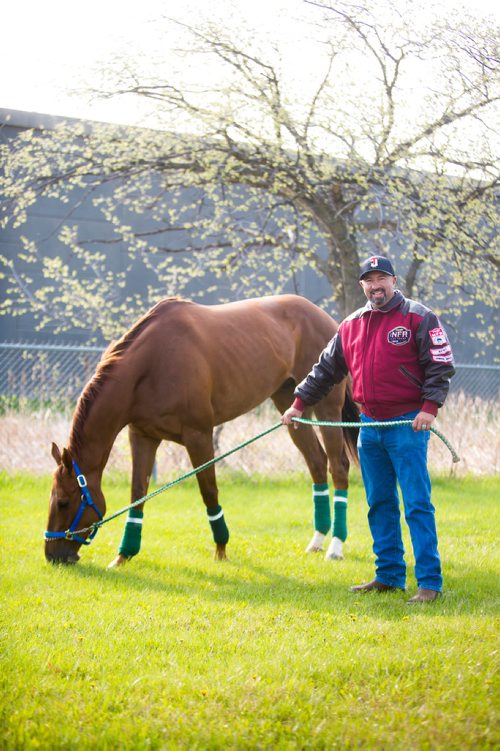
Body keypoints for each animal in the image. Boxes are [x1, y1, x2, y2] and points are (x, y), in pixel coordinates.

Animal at [45, 296, 358, 568]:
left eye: (63, 502)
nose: (52, 555)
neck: (152, 364)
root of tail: (329, 320)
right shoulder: (143, 436)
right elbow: (138, 493)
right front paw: (123, 555)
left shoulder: (199, 436)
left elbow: (209, 492)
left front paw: (221, 550)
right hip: (291, 407)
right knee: (316, 463)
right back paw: (316, 541)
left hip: (327, 409)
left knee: (338, 467)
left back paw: (335, 547)